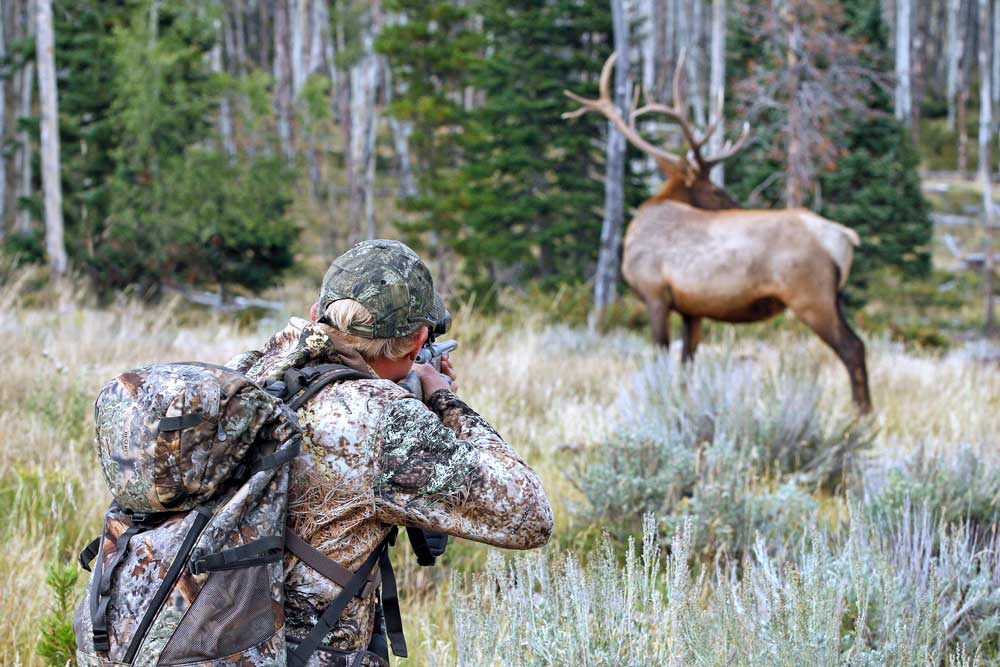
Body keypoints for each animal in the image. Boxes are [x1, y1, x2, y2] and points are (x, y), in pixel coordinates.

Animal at [564, 53, 872, 413]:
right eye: (714, 188)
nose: (736, 203)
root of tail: (844, 237)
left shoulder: (655, 293)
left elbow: (661, 356)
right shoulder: (691, 308)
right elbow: (686, 362)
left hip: (810, 294)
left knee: (852, 347)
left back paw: (861, 415)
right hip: (830, 296)